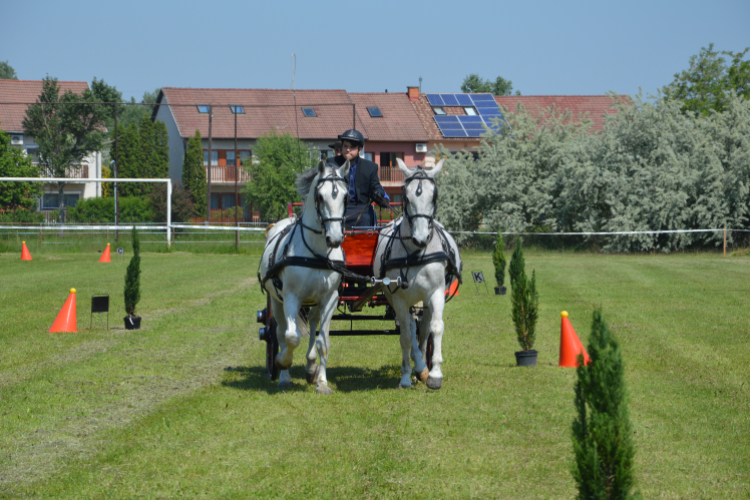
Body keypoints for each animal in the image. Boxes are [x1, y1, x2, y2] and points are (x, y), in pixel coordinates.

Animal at [260, 160, 352, 394]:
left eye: (346, 196)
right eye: (320, 196)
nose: (335, 239)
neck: (317, 252)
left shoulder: (330, 298)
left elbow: (324, 342)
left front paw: (322, 382)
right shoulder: (291, 297)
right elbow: (292, 337)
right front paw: (282, 361)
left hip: (314, 301)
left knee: (312, 324)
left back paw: (311, 368)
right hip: (276, 299)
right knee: (280, 331)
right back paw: (283, 376)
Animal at [374, 158, 462, 388]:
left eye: (435, 196)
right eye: (406, 196)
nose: (421, 238)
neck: (416, 254)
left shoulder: (436, 293)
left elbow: (436, 328)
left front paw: (434, 374)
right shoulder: (399, 300)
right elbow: (406, 336)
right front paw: (408, 374)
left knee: (423, 329)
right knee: (411, 329)